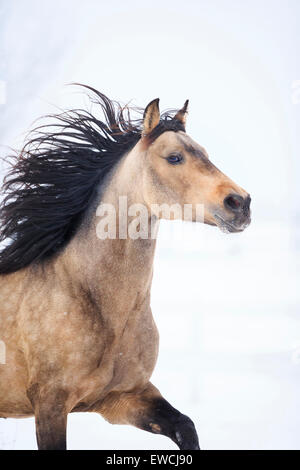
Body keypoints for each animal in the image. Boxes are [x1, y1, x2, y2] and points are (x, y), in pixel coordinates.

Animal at [0, 86, 250, 450]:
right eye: (174, 157)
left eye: (205, 153)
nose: (241, 203)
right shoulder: (50, 404)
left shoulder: (124, 398)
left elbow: (186, 426)